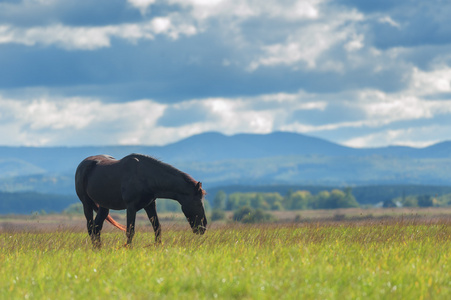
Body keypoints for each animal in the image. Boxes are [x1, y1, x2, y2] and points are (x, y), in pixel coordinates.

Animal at [74, 154, 208, 247]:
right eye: (198, 203)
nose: (203, 227)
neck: (145, 177)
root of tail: (82, 165)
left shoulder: (150, 205)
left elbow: (157, 228)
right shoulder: (131, 207)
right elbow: (130, 231)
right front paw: (129, 249)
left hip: (104, 206)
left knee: (97, 228)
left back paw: (99, 249)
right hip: (86, 204)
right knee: (90, 227)